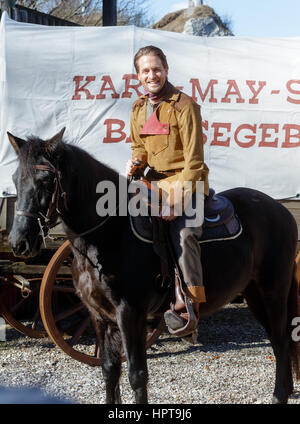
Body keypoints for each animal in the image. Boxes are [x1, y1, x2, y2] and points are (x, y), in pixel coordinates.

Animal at [7, 129, 300, 404]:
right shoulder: (99, 315)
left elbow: (137, 375)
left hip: (273, 291)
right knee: (279, 340)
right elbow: (109, 370)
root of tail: (281, 211)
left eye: (46, 181)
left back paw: (279, 395)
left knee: (281, 339)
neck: (110, 233)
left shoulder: (130, 313)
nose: (18, 241)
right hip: (254, 294)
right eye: (15, 179)